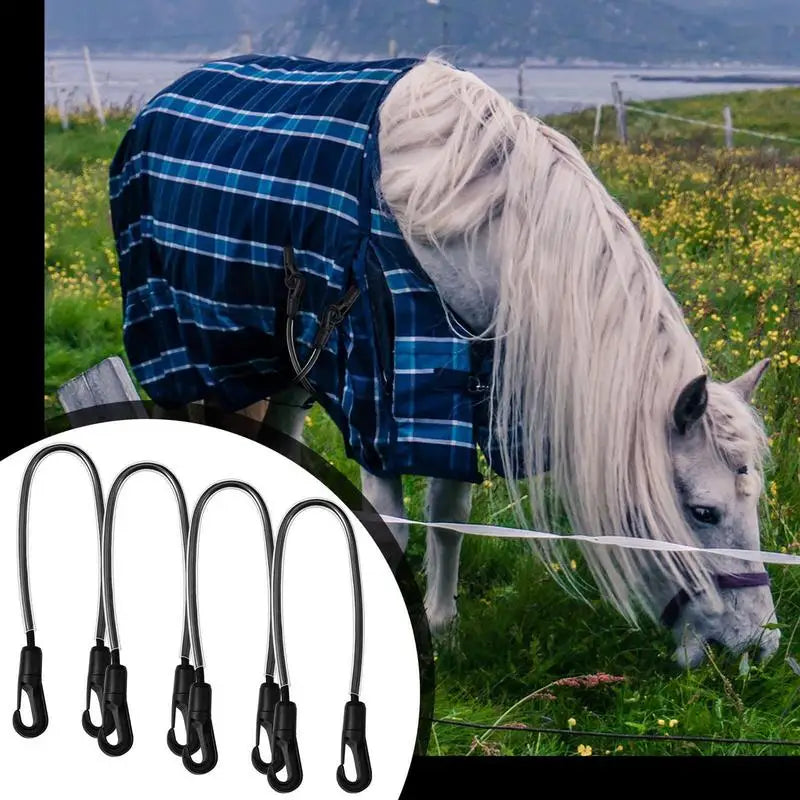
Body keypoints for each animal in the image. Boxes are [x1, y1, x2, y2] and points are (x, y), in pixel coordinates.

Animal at [109, 55, 780, 669]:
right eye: (704, 511)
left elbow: (451, 518)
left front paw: (442, 627)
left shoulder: (460, 395)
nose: (760, 643)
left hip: (287, 358)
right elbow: (392, 524)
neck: (475, 232)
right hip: (193, 346)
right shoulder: (379, 401)